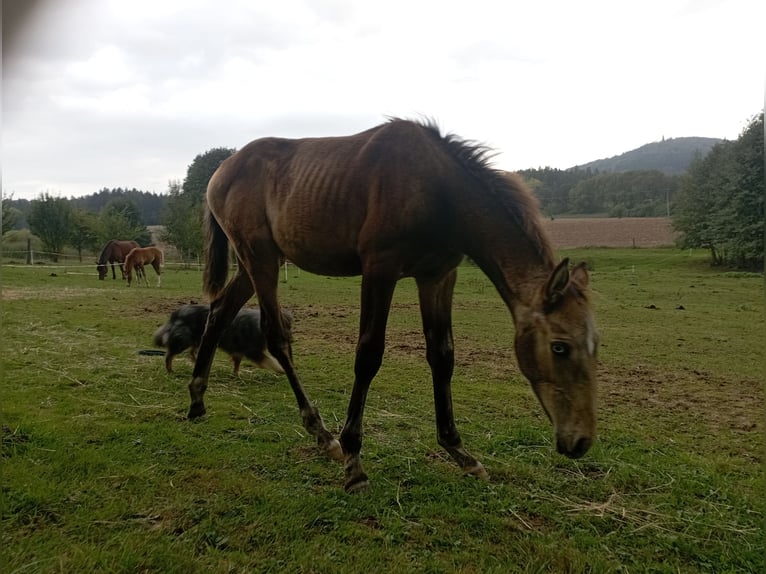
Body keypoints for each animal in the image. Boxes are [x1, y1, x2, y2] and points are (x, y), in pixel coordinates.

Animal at [188, 119, 600, 492]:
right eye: (560, 347)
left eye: (595, 346)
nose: (579, 442)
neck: (438, 189)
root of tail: (220, 172)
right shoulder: (380, 270)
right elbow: (369, 355)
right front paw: (354, 461)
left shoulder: (437, 276)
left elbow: (442, 355)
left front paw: (461, 453)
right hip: (260, 259)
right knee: (274, 336)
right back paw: (322, 434)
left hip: (257, 263)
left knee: (220, 312)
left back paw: (197, 400)